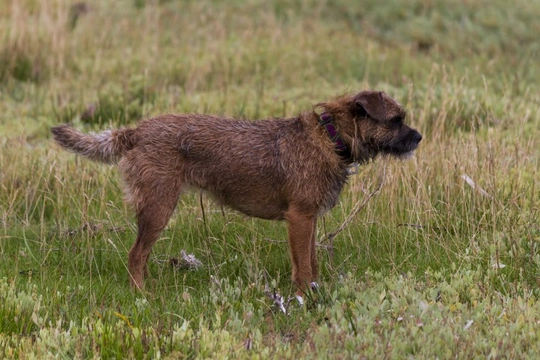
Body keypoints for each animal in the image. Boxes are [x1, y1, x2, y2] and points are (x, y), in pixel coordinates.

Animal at [51, 90, 422, 298]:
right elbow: (303, 266)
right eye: (396, 120)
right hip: (159, 208)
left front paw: (316, 292)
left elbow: (312, 261)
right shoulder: (300, 218)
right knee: (135, 255)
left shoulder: (310, 219)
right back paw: (141, 295)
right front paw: (306, 299)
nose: (418, 137)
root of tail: (137, 131)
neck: (331, 138)